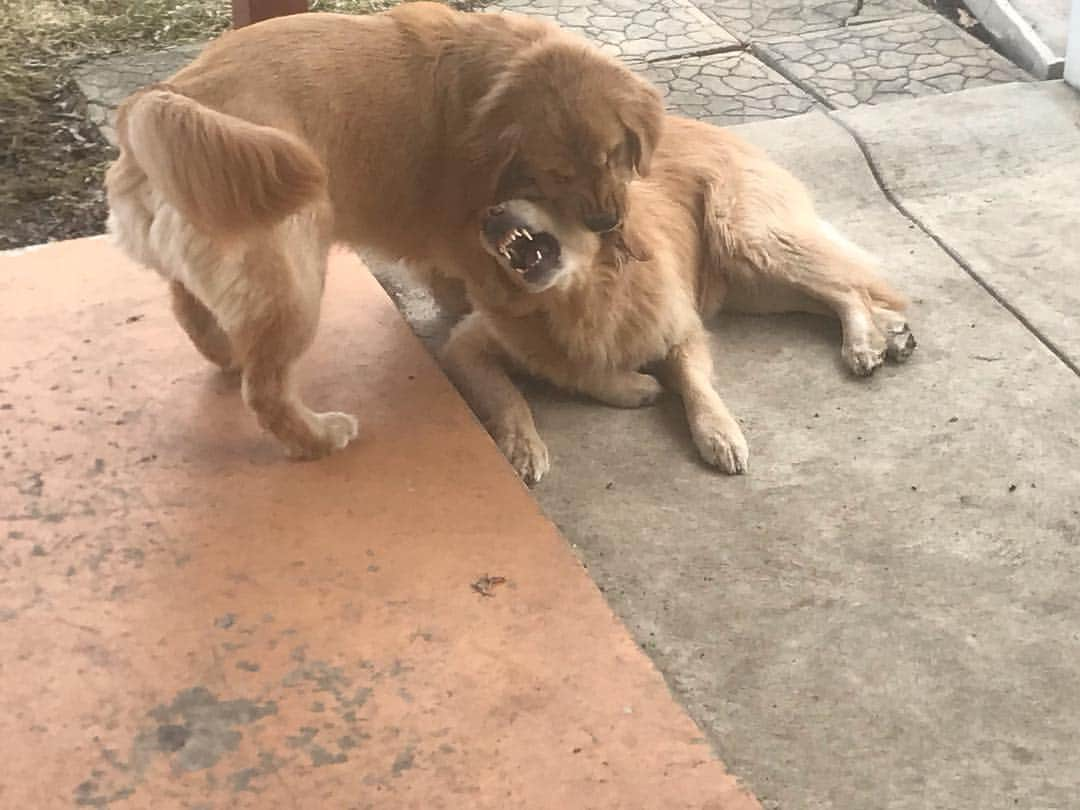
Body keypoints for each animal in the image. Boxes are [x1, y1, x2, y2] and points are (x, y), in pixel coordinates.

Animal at [105, 1, 660, 457]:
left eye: (614, 154)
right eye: (558, 174)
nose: (607, 222)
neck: (490, 87)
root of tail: (164, 96)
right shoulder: (476, 250)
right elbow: (534, 333)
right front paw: (616, 382)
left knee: (193, 315)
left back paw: (231, 355)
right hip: (295, 286)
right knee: (265, 392)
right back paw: (320, 437)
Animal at [442, 117, 915, 486]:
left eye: (535, 190)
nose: (489, 216)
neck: (580, 296)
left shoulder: (680, 327)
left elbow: (693, 382)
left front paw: (718, 433)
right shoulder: (467, 345)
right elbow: (522, 391)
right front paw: (525, 445)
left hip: (746, 239)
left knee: (845, 287)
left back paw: (863, 343)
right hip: (751, 285)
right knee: (829, 293)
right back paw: (890, 333)